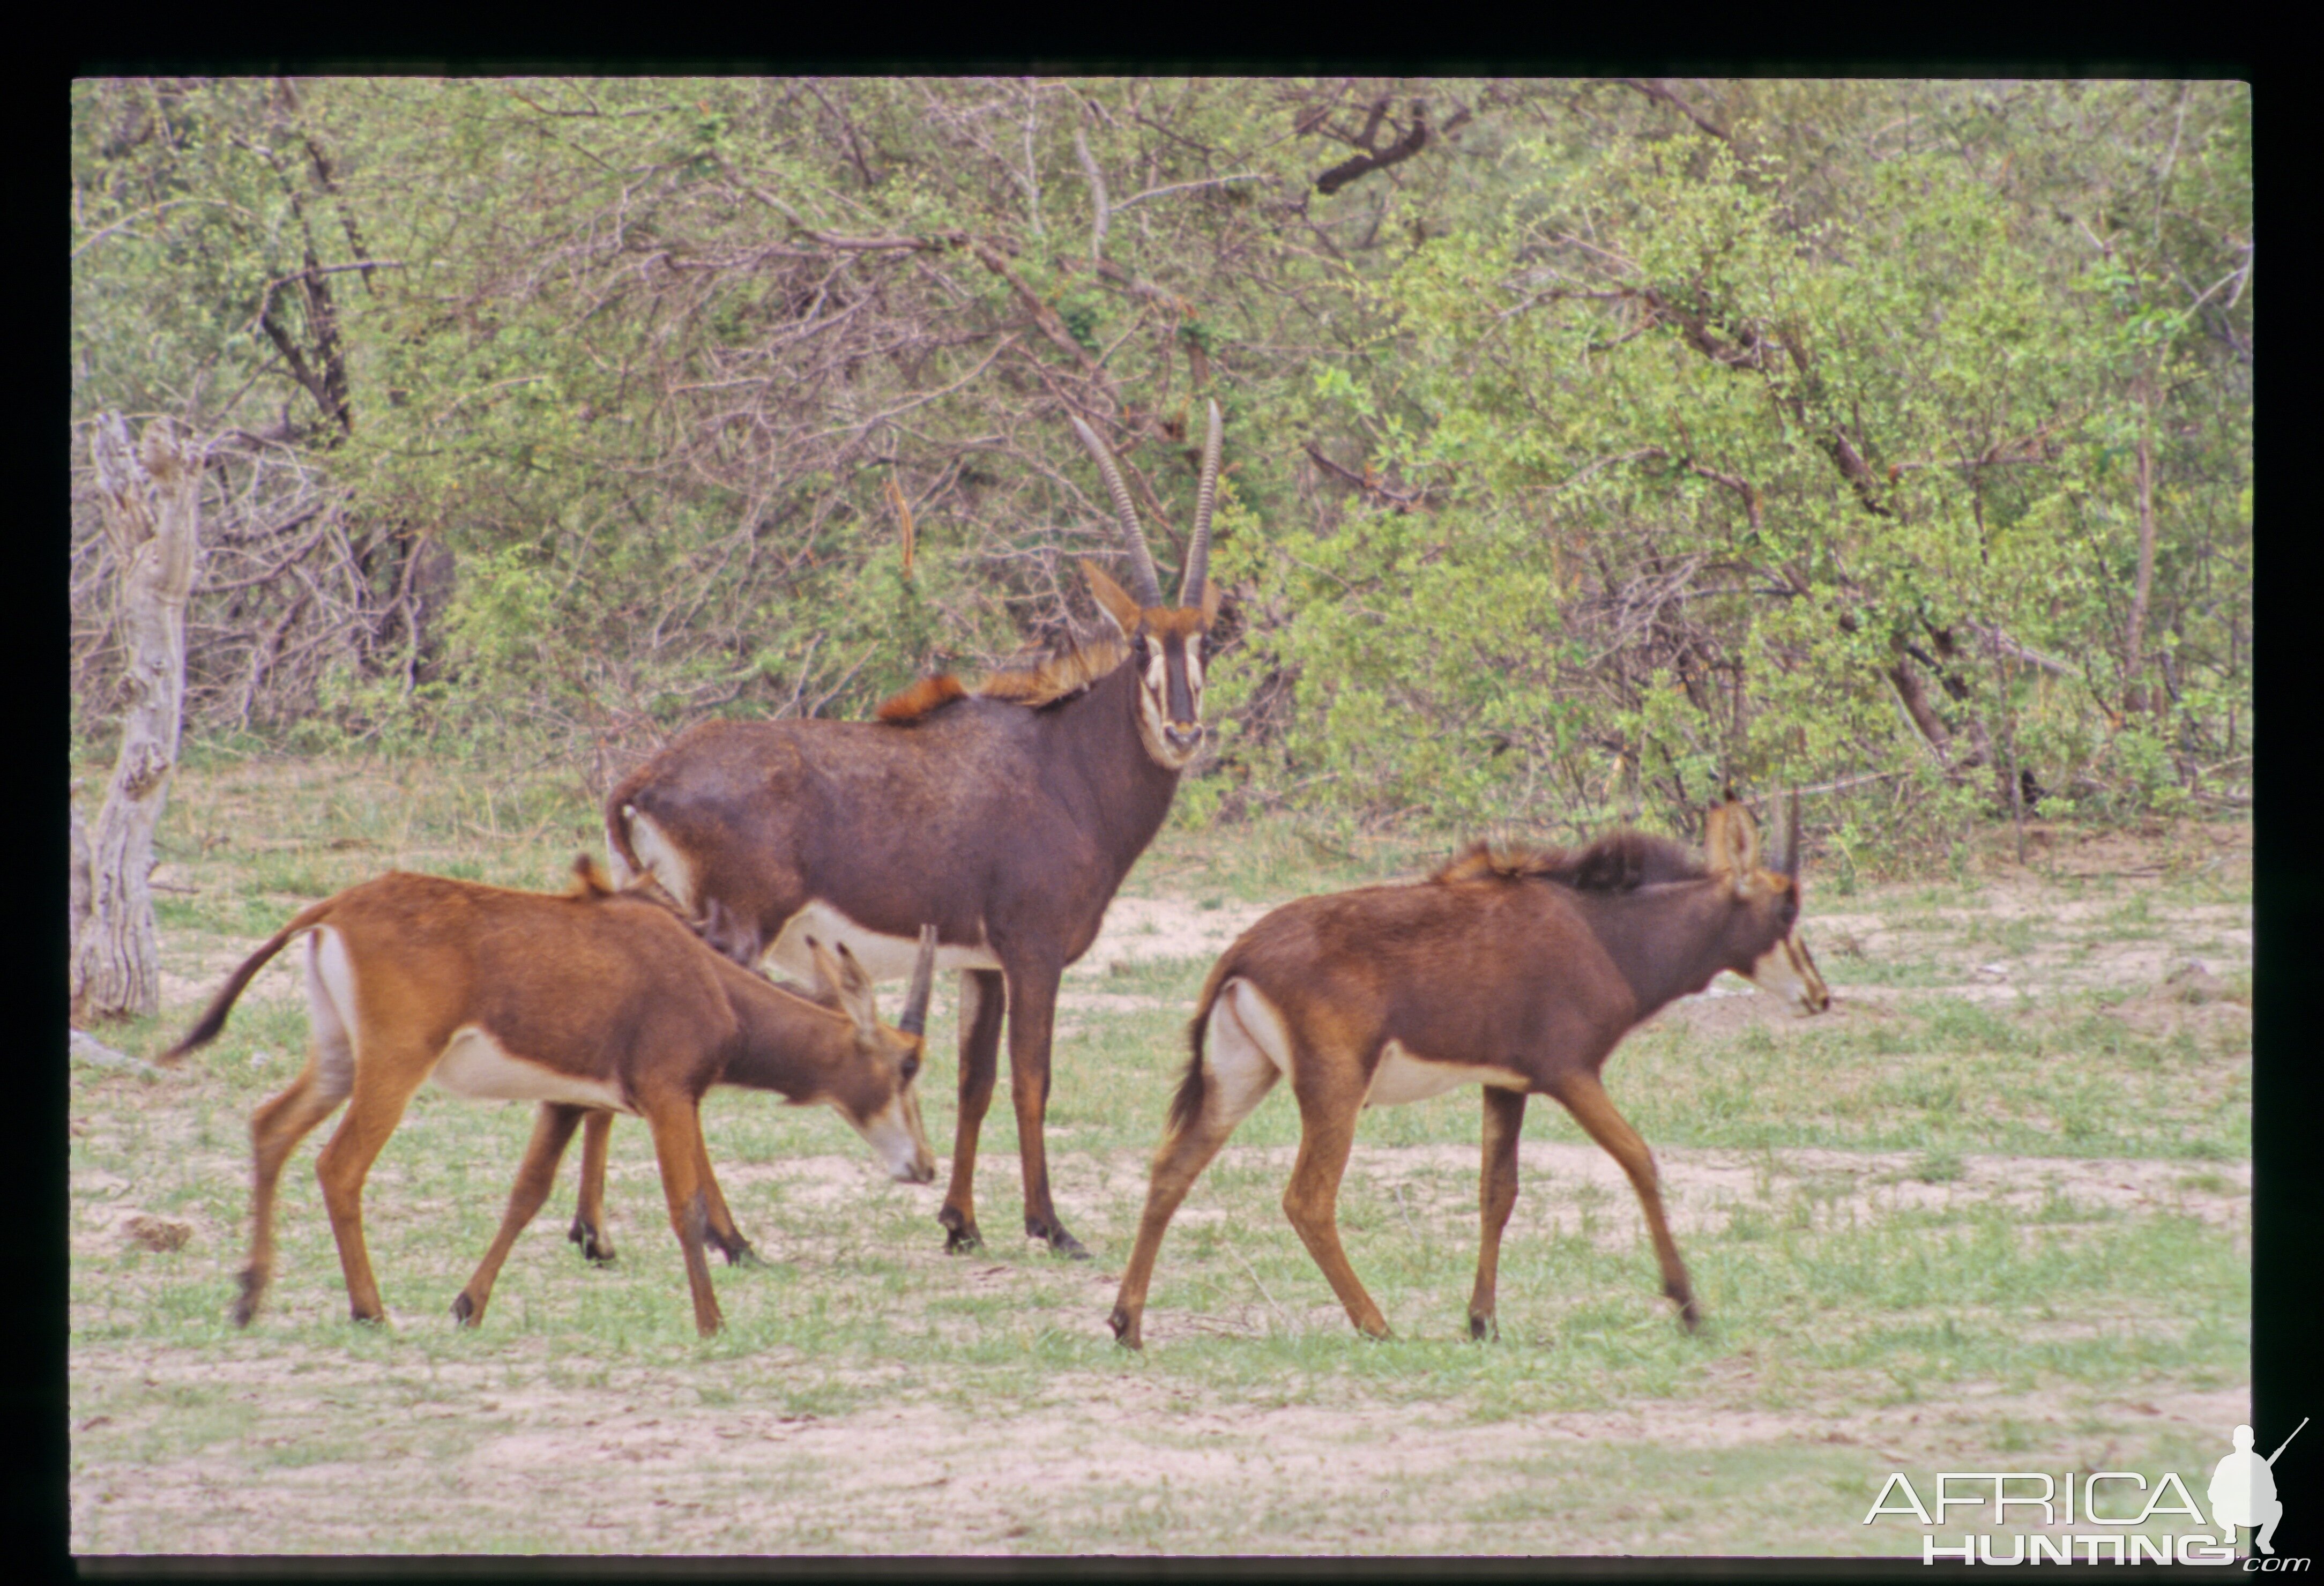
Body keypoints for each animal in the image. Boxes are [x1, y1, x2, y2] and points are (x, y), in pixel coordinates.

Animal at [157, 860, 943, 1330]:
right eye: (908, 1065)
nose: (926, 1166)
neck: (704, 976)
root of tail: (333, 909)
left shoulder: (566, 1101)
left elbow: (526, 1194)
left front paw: (469, 1304)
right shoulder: (669, 1095)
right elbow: (684, 1206)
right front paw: (712, 1319)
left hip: (338, 1058)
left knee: (270, 1126)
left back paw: (249, 1296)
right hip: (393, 1066)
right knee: (339, 1164)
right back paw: (369, 1310)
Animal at [599, 395, 1236, 1246]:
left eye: (1205, 641)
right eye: (1139, 645)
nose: (1182, 732)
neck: (1063, 764)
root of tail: (652, 775)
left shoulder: (982, 963)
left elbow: (975, 1080)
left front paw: (960, 1222)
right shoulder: (1034, 952)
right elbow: (1032, 1078)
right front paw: (1048, 1224)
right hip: (736, 930)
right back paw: (730, 1238)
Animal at [1106, 791, 1831, 1349]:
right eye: (1786, 906)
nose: (1820, 995)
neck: (1603, 930)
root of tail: (1241, 952)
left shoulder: (1505, 1083)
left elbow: (1496, 1192)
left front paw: (1482, 1321)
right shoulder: (1569, 1073)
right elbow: (1639, 1160)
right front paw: (1688, 1307)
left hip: (1242, 1076)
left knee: (1172, 1168)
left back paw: (1127, 1323)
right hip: (1334, 1088)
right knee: (1307, 1198)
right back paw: (1376, 1325)